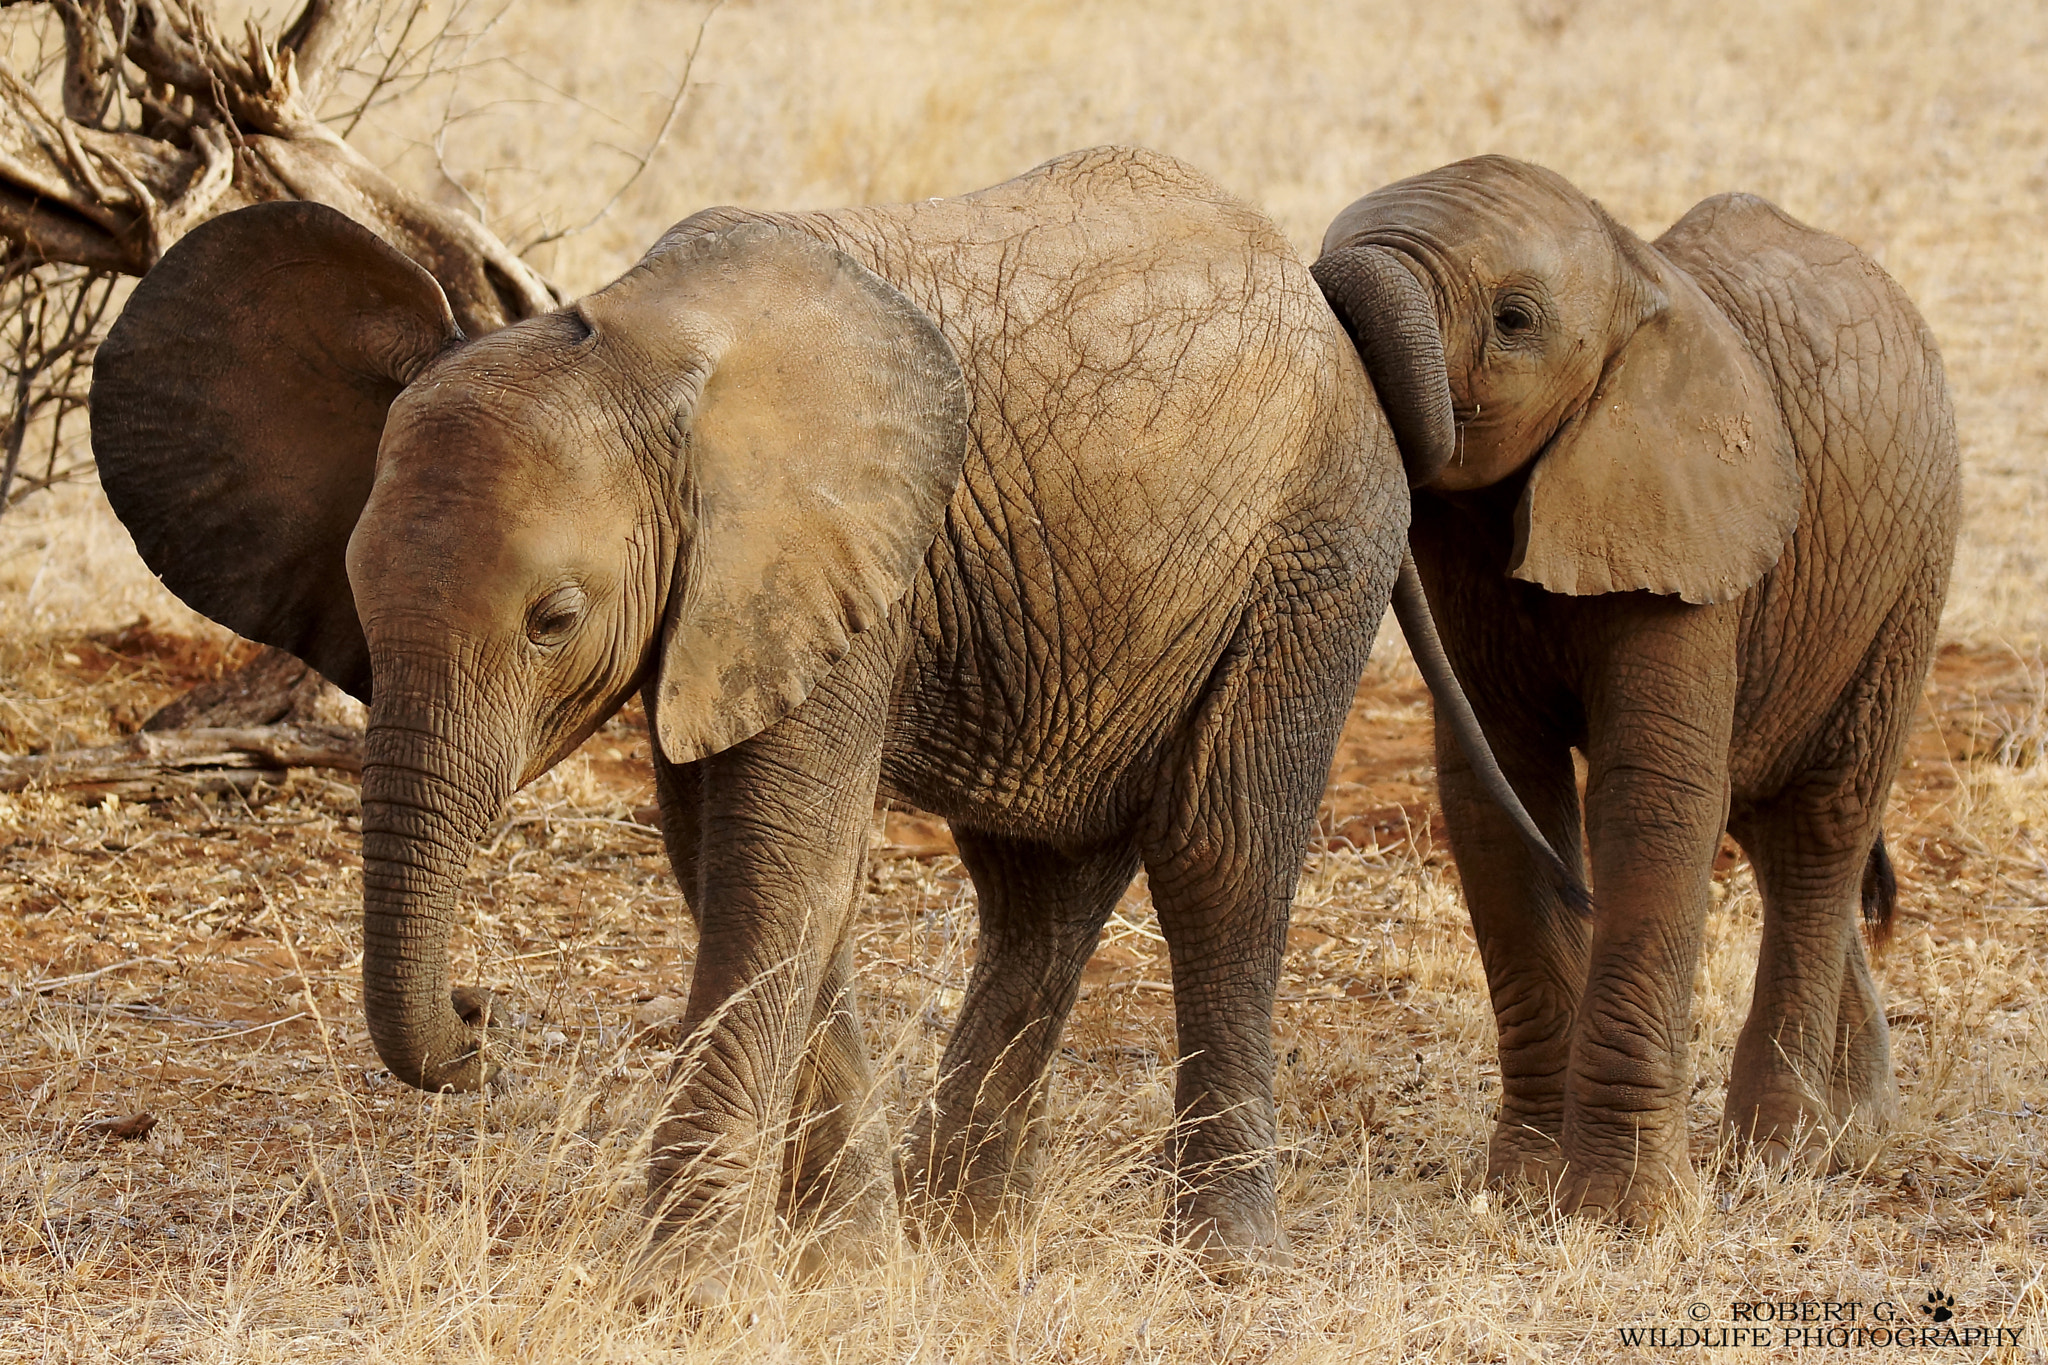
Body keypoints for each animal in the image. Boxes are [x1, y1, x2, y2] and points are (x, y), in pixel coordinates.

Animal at [83, 152, 1564, 1293]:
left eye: (554, 619)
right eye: (354, 597)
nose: (475, 1011)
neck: (638, 352)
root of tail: (1320, 289)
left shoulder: (845, 566)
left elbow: (773, 867)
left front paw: (680, 1281)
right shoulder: (735, 601)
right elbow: (752, 871)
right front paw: (839, 1257)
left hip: (1314, 542)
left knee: (1220, 859)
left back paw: (1220, 1263)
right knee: (1040, 885)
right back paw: (963, 1237)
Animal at [1318, 154, 1957, 1219]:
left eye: (1515, 320)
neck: (1631, 272)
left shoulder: (1690, 523)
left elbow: (1653, 799)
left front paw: (1620, 1216)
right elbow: (1497, 799)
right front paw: (1526, 1190)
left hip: (1914, 567)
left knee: (1823, 826)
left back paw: (1781, 1151)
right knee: (1771, 822)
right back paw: (1853, 1127)